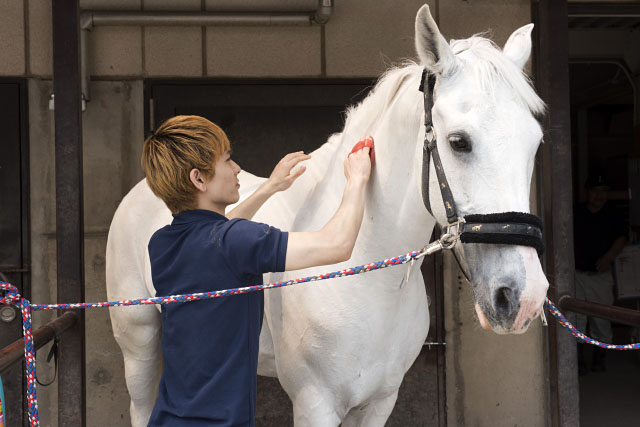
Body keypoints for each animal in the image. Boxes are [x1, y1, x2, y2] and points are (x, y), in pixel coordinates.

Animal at [107, 5, 548, 426]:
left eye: (535, 143)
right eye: (459, 142)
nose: (522, 298)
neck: (367, 278)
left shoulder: (378, 402)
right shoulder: (315, 403)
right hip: (138, 344)